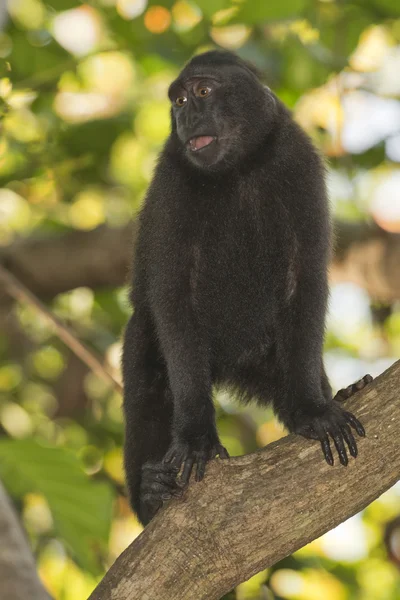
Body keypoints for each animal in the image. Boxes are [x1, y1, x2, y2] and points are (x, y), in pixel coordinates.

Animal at [122, 51, 372, 524]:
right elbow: (172, 297)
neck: (239, 170)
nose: (186, 116)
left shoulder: (298, 161)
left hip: (266, 356)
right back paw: (150, 495)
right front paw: (196, 437)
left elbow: (305, 280)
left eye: (202, 92)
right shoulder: (172, 181)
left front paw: (312, 409)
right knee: (149, 376)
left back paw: (336, 394)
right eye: (178, 100)